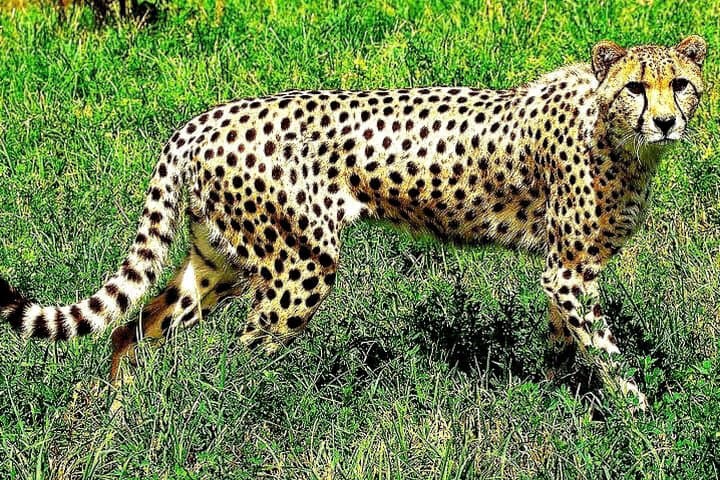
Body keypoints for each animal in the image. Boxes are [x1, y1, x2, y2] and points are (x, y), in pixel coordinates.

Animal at [0, 36, 707, 409]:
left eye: (680, 84)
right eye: (637, 88)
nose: (667, 121)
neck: (616, 136)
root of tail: (201, 119)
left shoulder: (564, 273)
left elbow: (569, 343)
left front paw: (557, 397)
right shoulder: (569, 273)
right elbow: (606, 351)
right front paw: (643, 417)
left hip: (219, 260)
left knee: (136, 326)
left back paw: (118, 408)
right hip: (301, 265)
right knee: (241, 354)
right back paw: (253, 414)